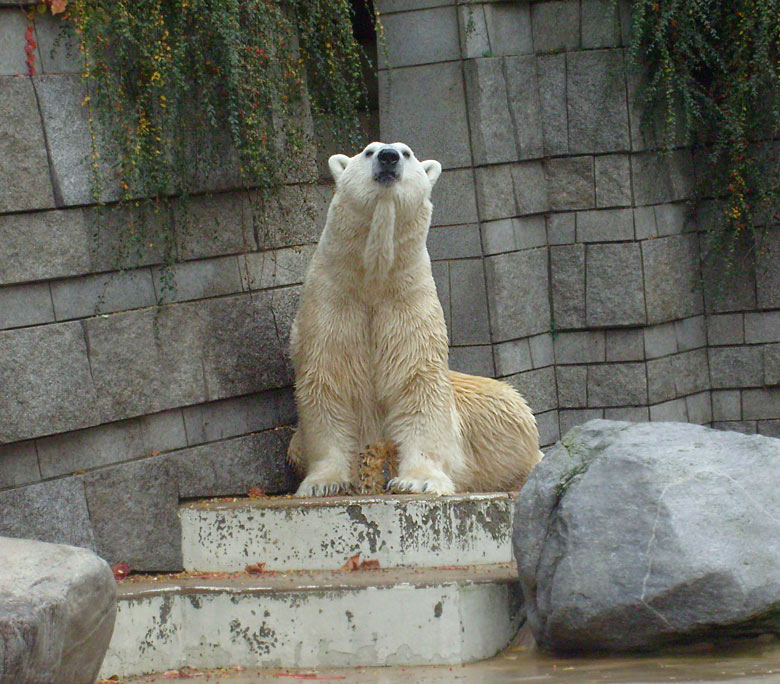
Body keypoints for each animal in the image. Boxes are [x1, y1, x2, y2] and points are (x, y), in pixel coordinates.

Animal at [288, 142, 544, 494]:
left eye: (406, 153)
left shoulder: (408, 305)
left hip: (500, 416)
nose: (388, 157)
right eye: (368, 152)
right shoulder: (332, 304)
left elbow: (417, 383)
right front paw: (324, 483)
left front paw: (418, 481)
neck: (373, 280)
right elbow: (327, 381)